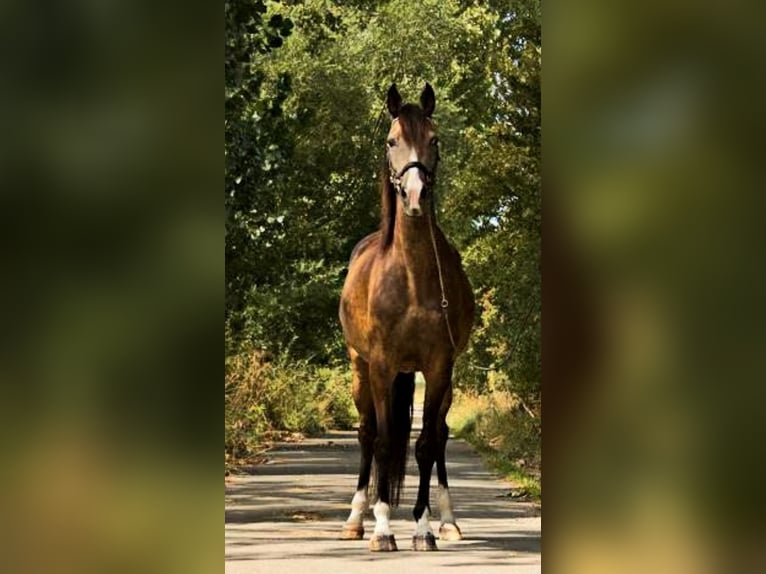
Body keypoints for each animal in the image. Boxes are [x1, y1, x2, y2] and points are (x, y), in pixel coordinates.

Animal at [340, 82, 474, 552]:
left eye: (434, 140)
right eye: (391, 141)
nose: (415, 197)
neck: (412, 278)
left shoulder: (437, 367)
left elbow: (426, 444)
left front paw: (423, 527)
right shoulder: (381, 365)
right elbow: (383, 443)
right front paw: (383, 528)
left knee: (441, 434)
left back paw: (449, 521)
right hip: (360, 368)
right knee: (366, 434)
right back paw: (355, 519)